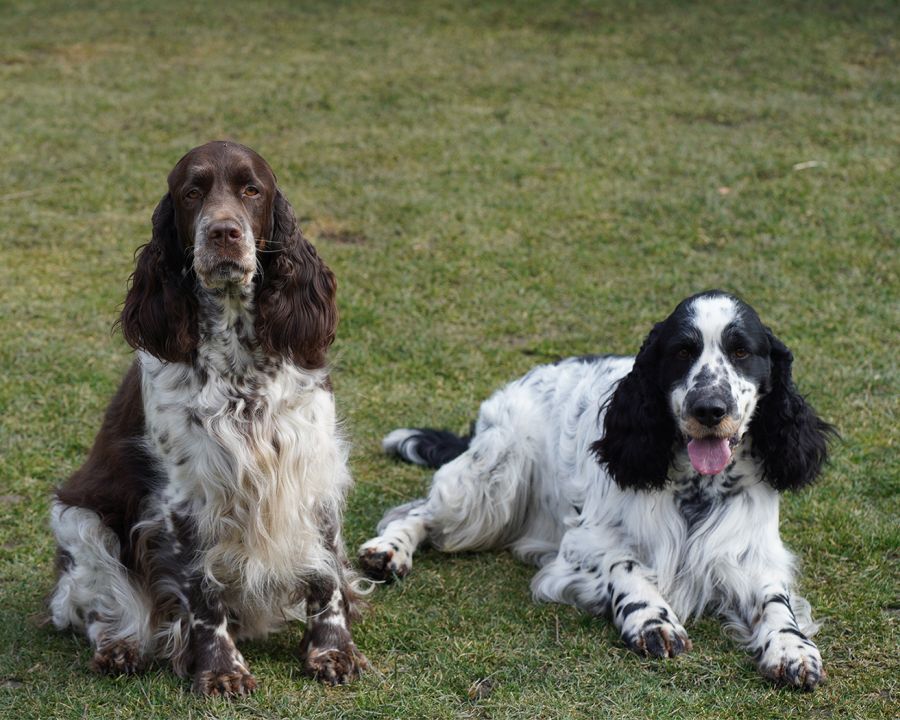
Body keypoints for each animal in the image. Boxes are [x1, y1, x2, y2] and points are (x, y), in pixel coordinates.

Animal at [360, 290, 836, 688]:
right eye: (683, 351)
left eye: (741, 351)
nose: (709, 409)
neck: (697, 485)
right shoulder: (580, 546)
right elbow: (624, 565)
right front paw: (653, 621)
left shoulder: (752, 555)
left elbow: (776, 601)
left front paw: (792, 649)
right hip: (494, 480)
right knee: (417, 510)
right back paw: (387, 551)